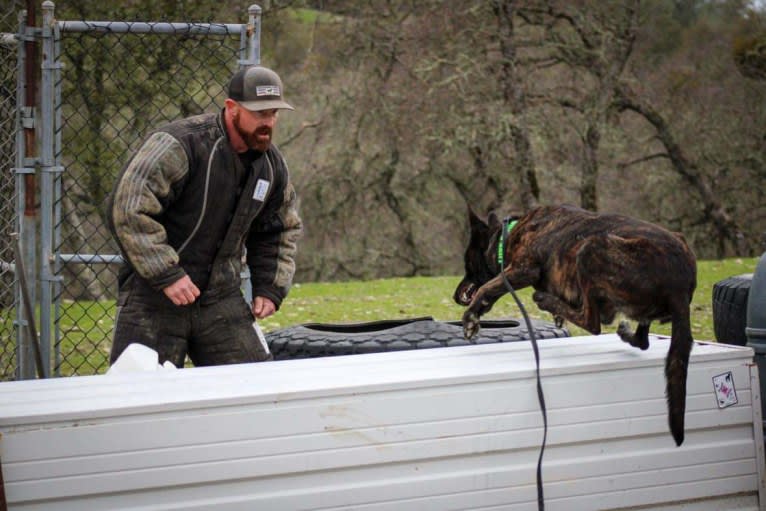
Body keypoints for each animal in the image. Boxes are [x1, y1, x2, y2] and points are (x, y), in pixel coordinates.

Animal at [456, 204, 704, 448]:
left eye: (468, 263)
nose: (456, 296)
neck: (506, 237)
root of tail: (679, 286)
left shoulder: (523, 270)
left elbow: (487, 287)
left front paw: (471, 318)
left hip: (590, 248)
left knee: (593, 321)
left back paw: (546, 300)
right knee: (641, 338)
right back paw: (623, 332)